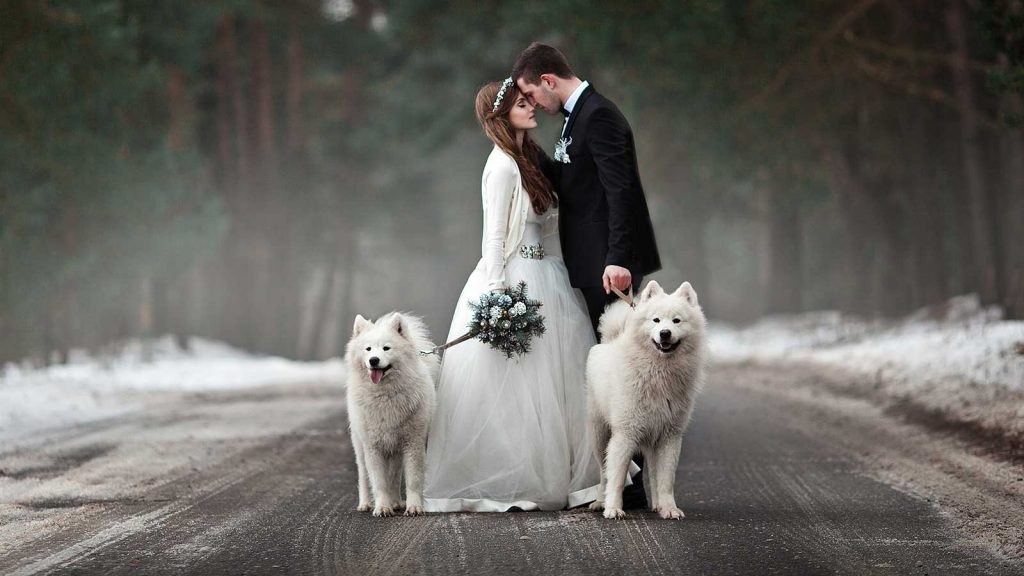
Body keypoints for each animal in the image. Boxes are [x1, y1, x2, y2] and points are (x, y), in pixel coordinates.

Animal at [346, 311, 438, 512]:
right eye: (368, 349)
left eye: (386, 348)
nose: (374, 360)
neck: (385, 396)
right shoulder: (372, 447)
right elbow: (379, 482)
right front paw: (382, 507)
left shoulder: (412, 443)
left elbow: (412, 480)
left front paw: (413, 507)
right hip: (360, 447)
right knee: (363, 477)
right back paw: (365, 503)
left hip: (396, 450)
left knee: (395, 477)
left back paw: (396, 501)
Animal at [589, 280, 708, 518]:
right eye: (656, 320)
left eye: (676, 320)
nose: (665, 333)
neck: (659, 373)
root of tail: (609, 341)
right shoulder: (625, 435)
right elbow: (616, 478)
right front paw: (613, 508)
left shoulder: (670, 437)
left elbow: (665, 480)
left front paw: (669, 508)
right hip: (599, 435)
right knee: (603, 472)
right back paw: (599, 502)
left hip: (652, 440)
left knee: (652, 473)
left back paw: (657, 505)